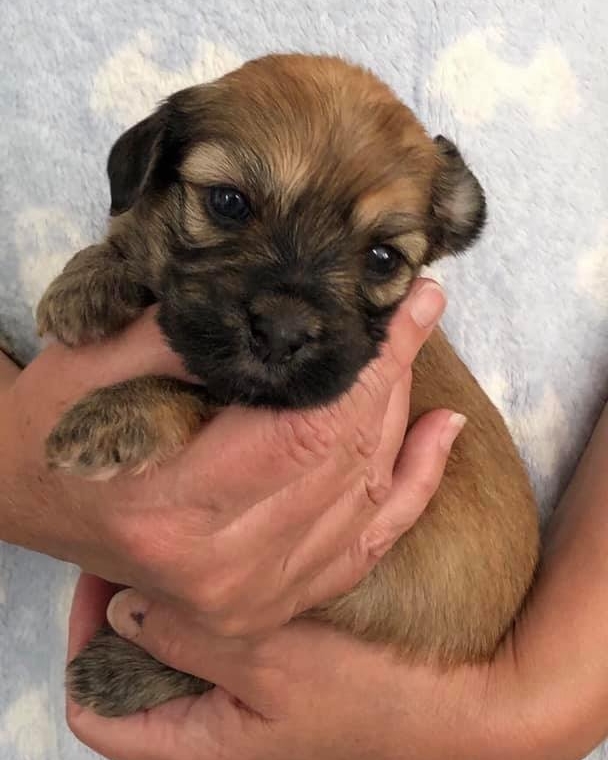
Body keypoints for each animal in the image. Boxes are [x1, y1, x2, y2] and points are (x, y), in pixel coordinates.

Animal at [36, 53, 539, 717]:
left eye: (382, 258)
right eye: (228, 202)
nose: (282, 332)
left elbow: (198, 389)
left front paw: (117, 415)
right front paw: (88, 282)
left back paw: (121, 670)